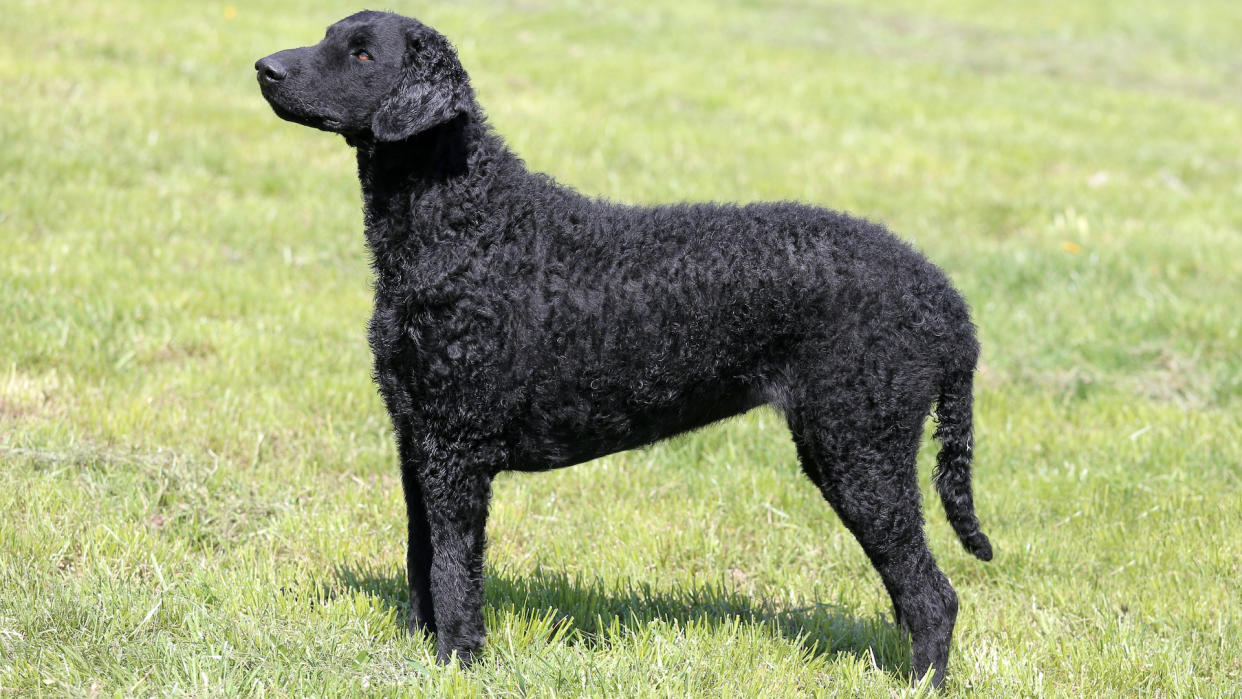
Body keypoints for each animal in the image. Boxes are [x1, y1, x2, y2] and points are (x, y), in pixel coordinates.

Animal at [257, 10, 993, 690]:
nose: (264, 67)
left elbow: (454, 569)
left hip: (859, 448)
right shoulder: (416, 437)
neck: (471, 223)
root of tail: (944, 295)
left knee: (933, 596)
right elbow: (420, 559)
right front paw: (417, 650)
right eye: (328, 35)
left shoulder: (456, 448)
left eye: (360, 53)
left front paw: (458, 663)